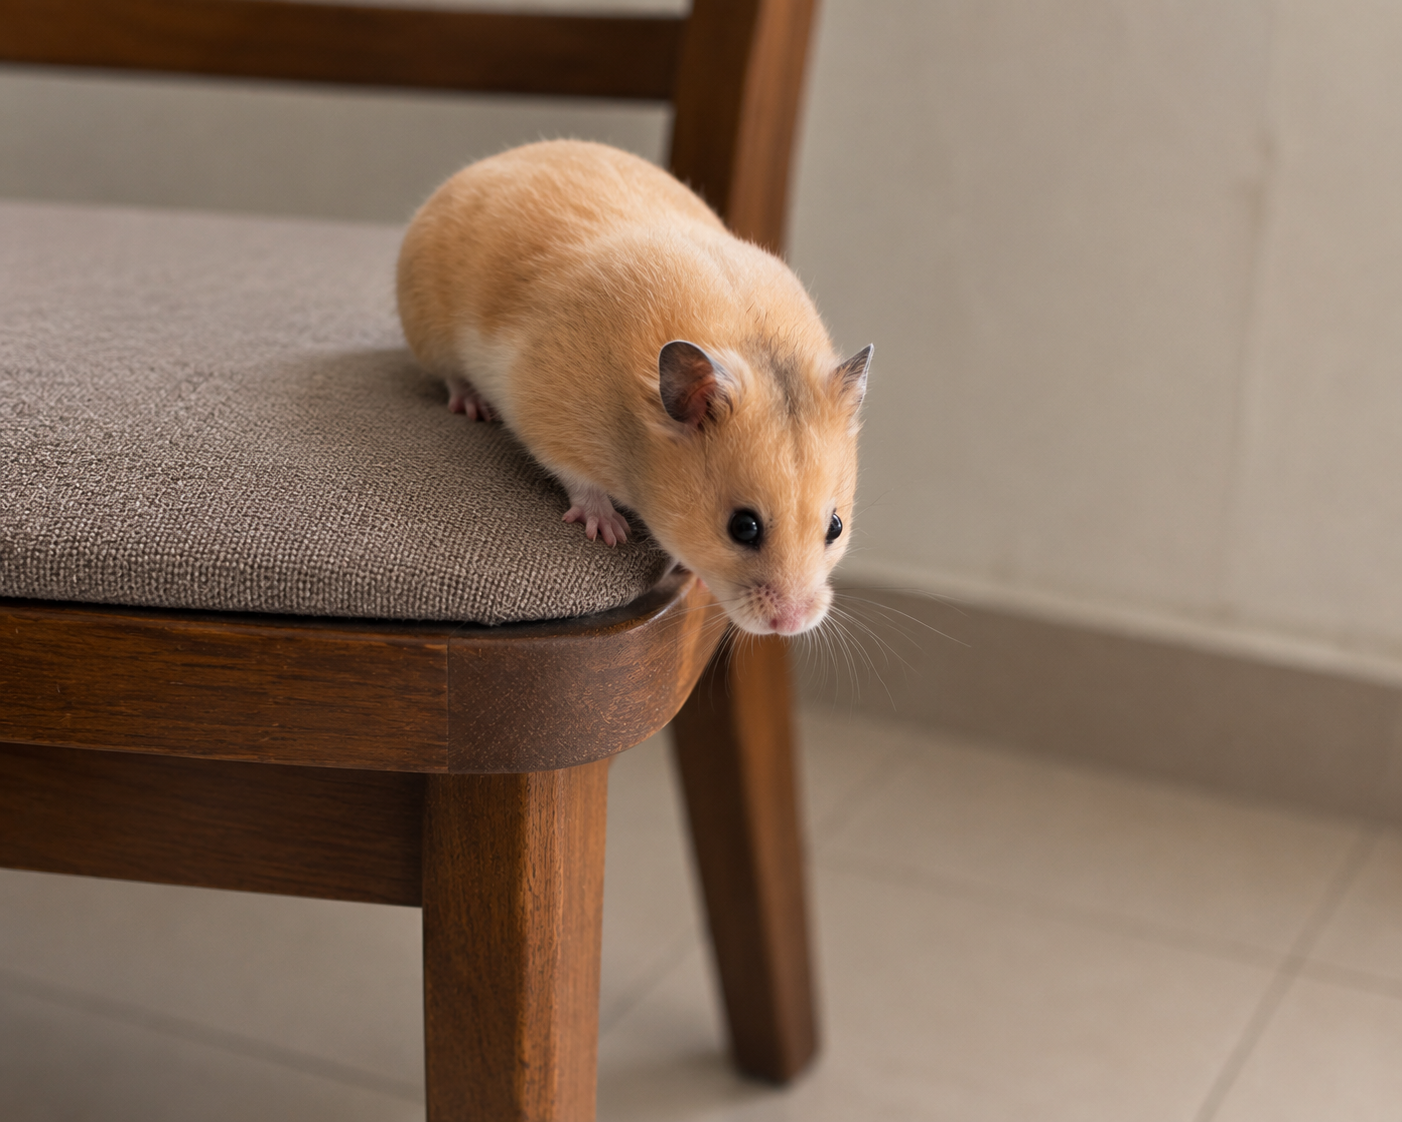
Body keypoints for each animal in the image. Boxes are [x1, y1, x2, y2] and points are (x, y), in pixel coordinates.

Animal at [396, 140, 871, 636]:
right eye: (743, 527)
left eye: (835, 527)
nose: (792, 624)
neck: (634, 440)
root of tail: (485, 164)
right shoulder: (548, 417)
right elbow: (578, 480)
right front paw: (610, 533)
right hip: (431, 331)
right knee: (452, 377)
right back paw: (472, 405)